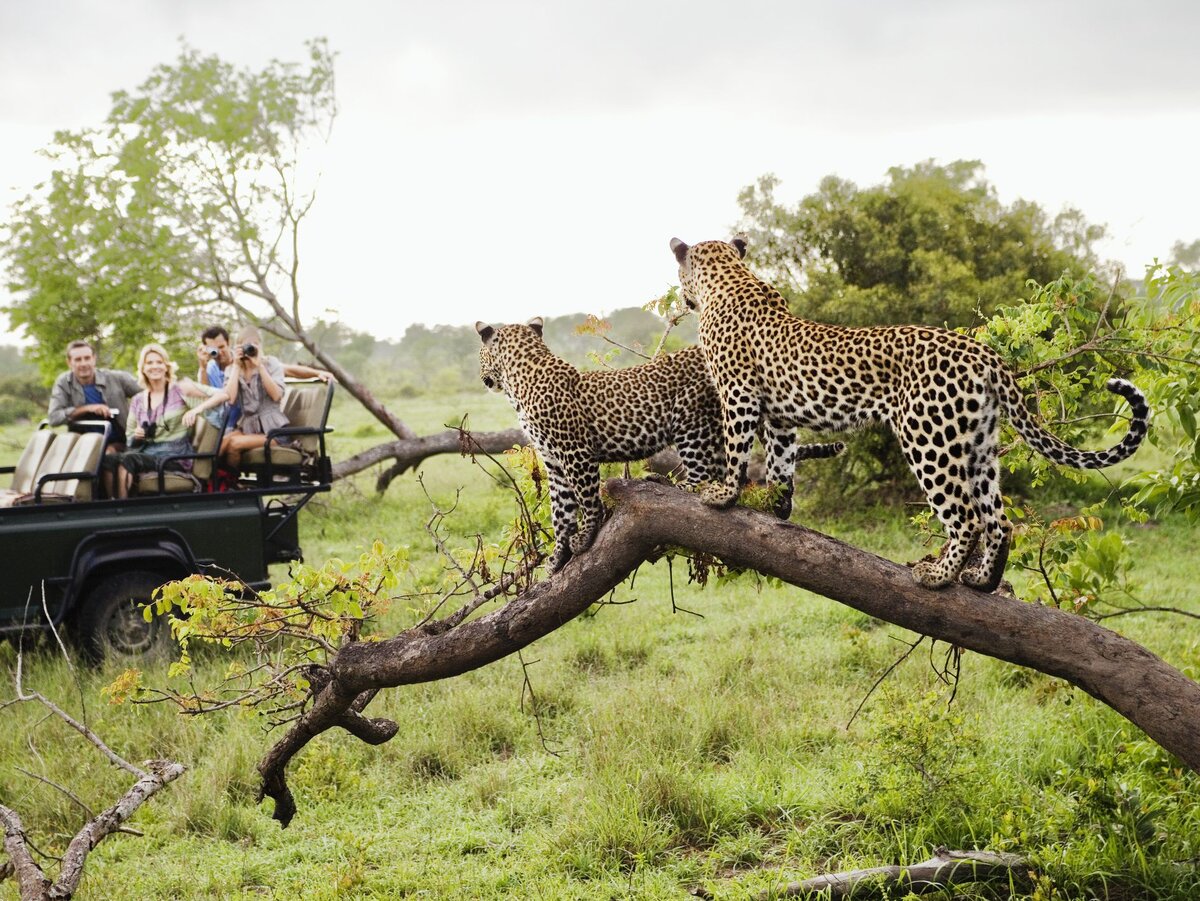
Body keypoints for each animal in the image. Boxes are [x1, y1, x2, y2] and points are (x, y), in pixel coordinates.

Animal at [472, 316, 840, 571]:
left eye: (480, 355)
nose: (482, 378)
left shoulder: (576, 453)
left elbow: (587, 500)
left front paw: (586, 535)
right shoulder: (553, 461)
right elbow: (560, 510)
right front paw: (558, 555)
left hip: (692, 421)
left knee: (704, 476)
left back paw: (671, 484)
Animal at [672, 236, 1147, 595]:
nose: (683, 298)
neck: (730, 277)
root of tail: (985, 353)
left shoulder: (738, 393)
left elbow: (737, 448)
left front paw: (723, 495)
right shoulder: (781, 416)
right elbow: (781, 461)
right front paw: (777, 506)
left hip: (929, 438)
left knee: (967, 517)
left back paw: (937, 576)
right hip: (977, 445)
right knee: (998, 520)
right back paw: (980, 580)